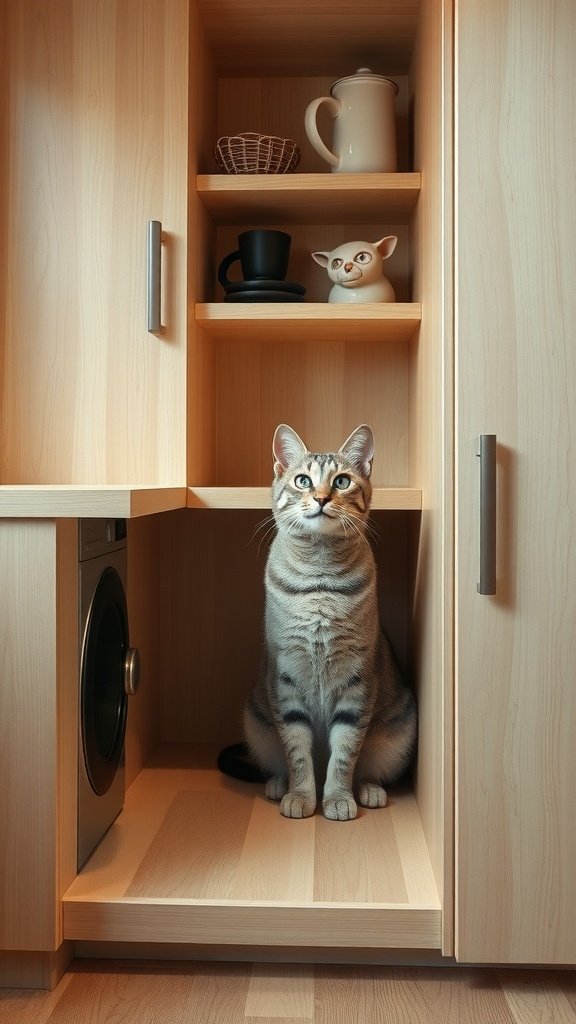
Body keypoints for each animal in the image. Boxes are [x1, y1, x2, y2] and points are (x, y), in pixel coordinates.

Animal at [239, 419, 414, 819]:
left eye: (342, 481)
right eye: (303, 480)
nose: (321, 498)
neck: (319, 581)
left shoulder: (357, 681)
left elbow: (345, 754)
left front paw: (336, 798)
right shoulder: (285, 675)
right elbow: (297, 753)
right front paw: (301, 796)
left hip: (398, 727)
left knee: (367, 768)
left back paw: (368, 791)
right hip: (256, 719)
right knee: (279, 761)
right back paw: (278, 785)